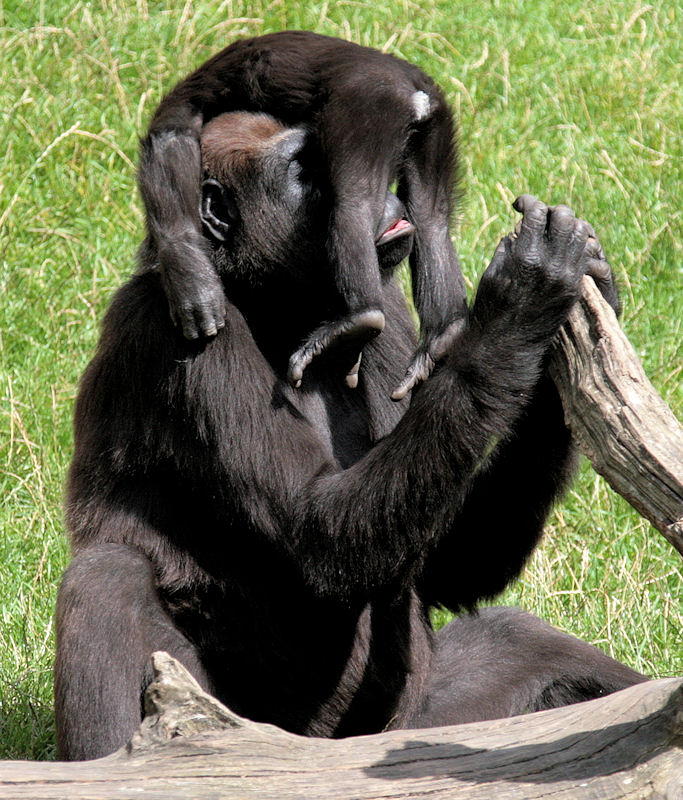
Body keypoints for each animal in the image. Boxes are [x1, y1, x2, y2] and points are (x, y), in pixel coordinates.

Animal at [54, 111, 648, 756]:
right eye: (304, 170)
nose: (378, 197)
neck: (270, 305)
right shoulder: (184, 330)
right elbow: (318, 529)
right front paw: (522, 300)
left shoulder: (385, 305)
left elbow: (448, 563)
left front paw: (578, 321)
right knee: (107, 578)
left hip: (409, 733)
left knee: (519, 642)